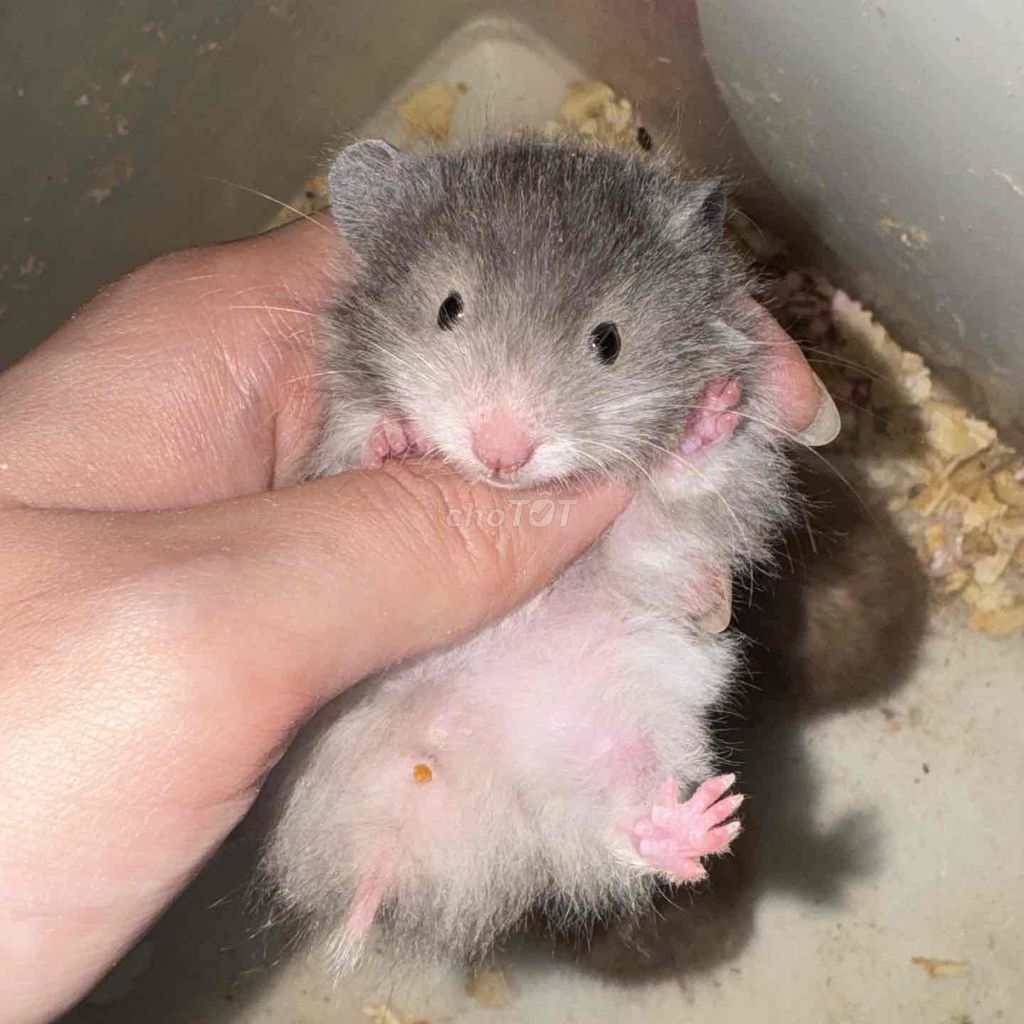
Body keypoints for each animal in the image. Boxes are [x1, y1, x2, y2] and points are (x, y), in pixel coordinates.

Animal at [259, 138, 793, 970]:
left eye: (609, 340)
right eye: (448, 308)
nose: (501, 454)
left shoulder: (672, 537)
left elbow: (678, 492)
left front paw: (710, 409)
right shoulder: (324, 445)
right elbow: (352, 444)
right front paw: (395, 441)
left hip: (626, 740)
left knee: (622, 832)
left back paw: (698, 827)